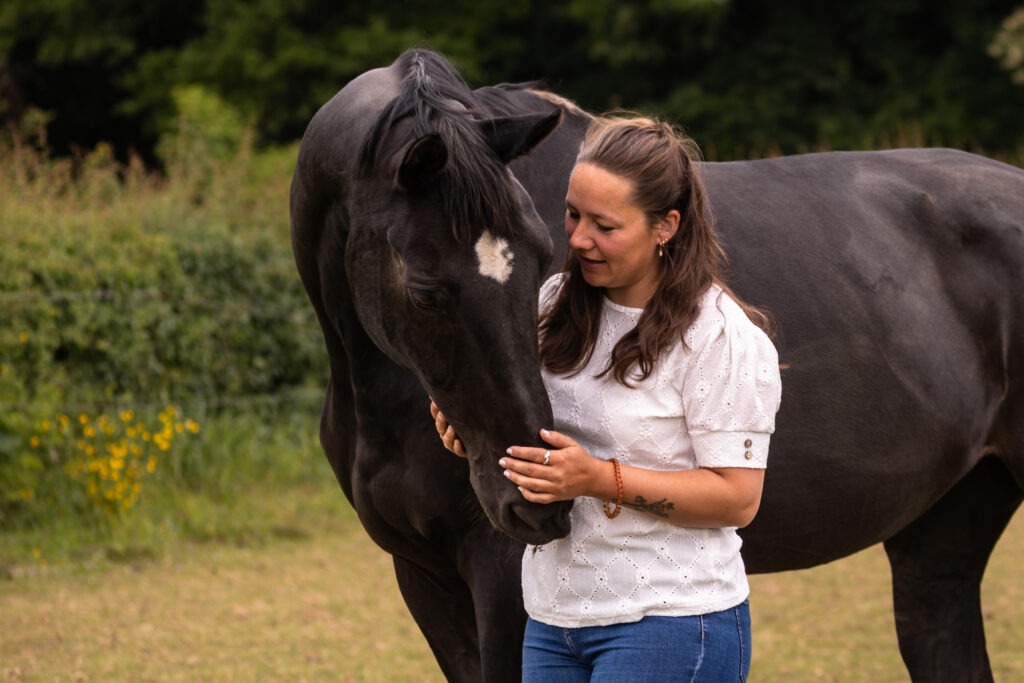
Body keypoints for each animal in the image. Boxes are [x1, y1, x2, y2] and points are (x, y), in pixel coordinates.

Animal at [290, 48, 1024, 682]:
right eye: (425, 292)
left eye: (541, 259)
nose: (536, 505)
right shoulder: (424, 577)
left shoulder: (499, 578)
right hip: (941, 542)